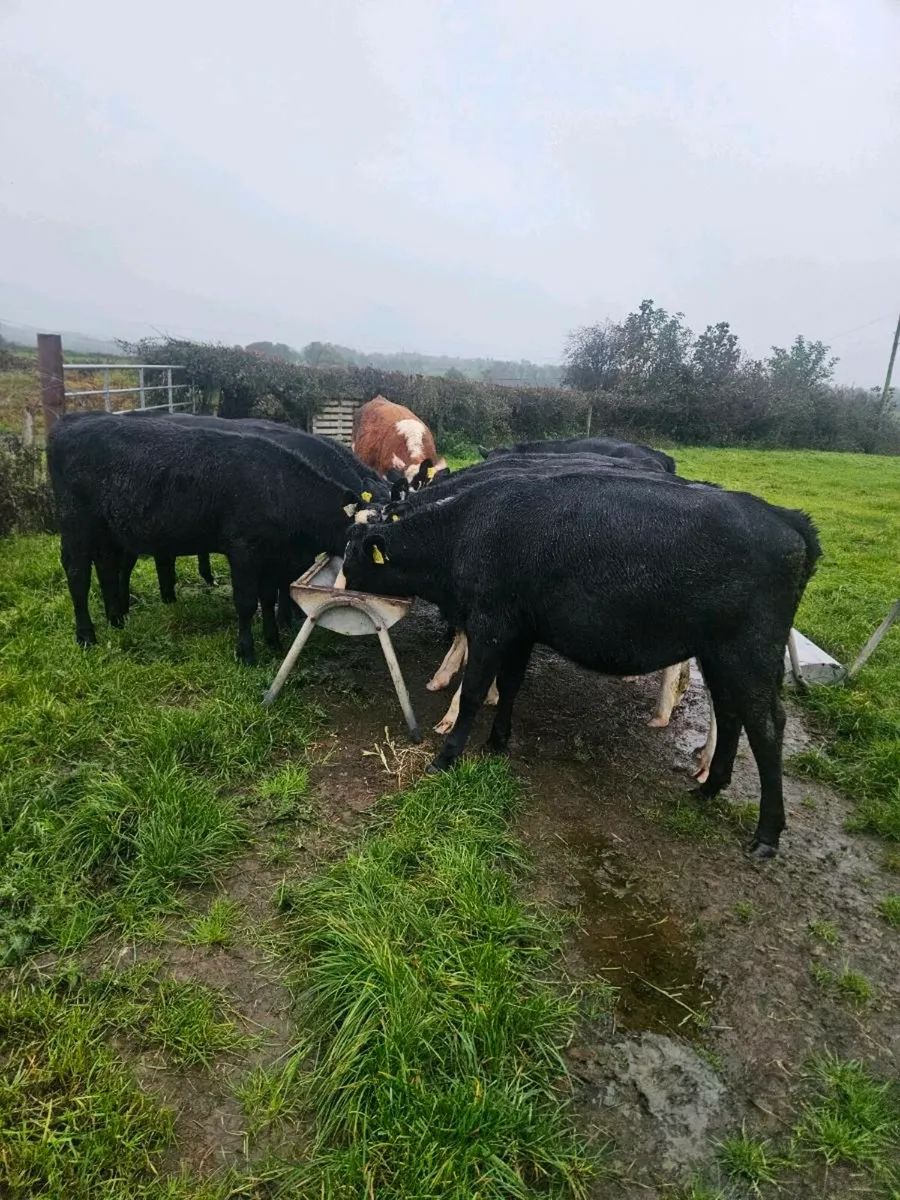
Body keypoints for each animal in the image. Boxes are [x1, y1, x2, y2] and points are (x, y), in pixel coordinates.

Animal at [47, 412, 362, 665]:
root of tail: (69, 422)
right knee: (78, 575)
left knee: (108, 569)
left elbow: (268, 595)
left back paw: (117, 620)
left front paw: (273, 640)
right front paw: (246, 654)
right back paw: (87, 636)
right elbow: (247, 602)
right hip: (76, 523)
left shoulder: (272, 556)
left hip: (108, 531)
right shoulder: (244, 550)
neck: (279, 488)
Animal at [343, 469, 821, 858]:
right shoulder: (521, 630)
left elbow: (477, 690)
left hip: (750, 651)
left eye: (352, 556)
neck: (466, 530)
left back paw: (767, 834)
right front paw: (498, 742)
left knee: (766, 725)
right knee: (730, 711)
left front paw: (446, 756)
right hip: (720, 653)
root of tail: (785, 517)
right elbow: (511, 685)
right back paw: (710, 786)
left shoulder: (492, 624)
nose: (343, 586)